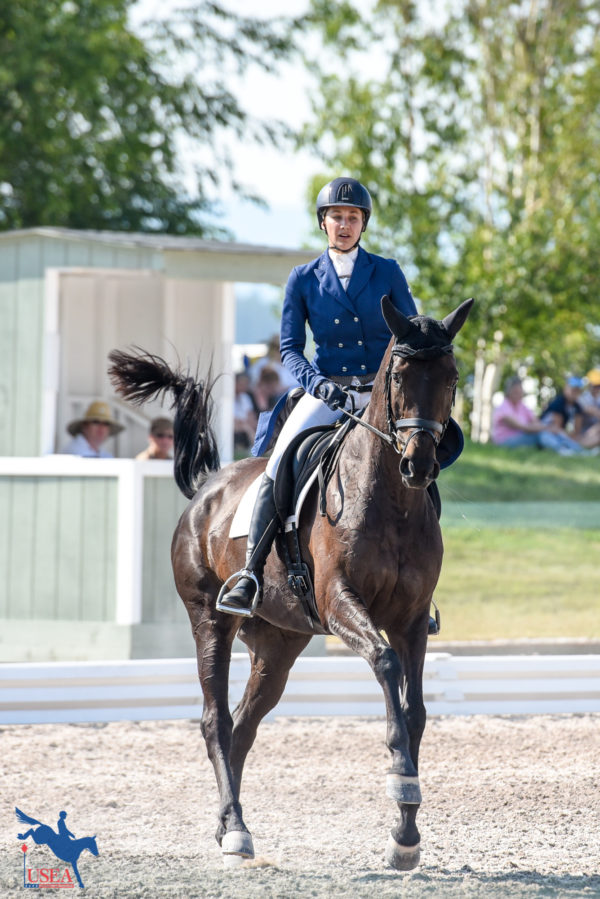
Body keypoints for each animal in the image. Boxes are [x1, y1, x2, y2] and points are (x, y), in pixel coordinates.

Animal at [108, 296, 474, 872]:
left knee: (243, 726)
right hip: (209, 620)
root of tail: (208, 487)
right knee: (216, 721)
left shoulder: (413, 620)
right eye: (398, 375)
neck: (391, 499)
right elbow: (387, 669)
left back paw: (227, 825)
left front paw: (405, 834)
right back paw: (236, 831)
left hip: (278, 644)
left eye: (452, 376)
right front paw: (400, 781)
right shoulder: (342, 603)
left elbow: (415, 710)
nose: (418, 464)